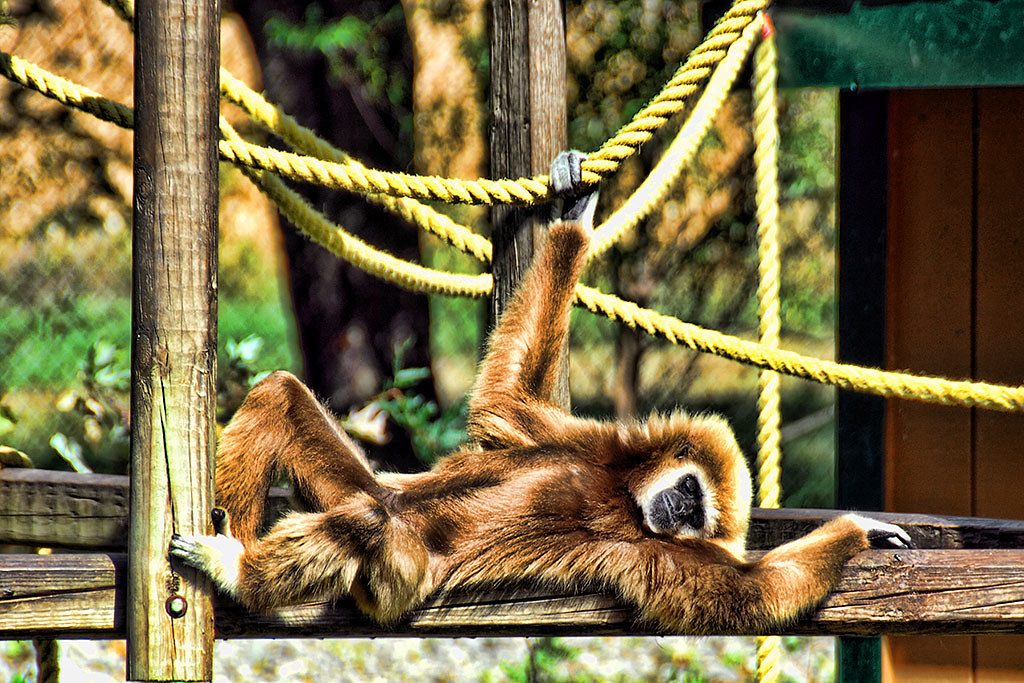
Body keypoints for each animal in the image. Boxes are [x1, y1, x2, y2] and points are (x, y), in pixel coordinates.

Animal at [170, 152, 910, 633]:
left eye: (696, 516)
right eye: (692, 491)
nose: (677, 513)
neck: (621, 492)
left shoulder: (662, 552)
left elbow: (749, 592)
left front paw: (858, 529)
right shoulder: (599, 441)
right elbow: (506, 404)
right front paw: (575, 215)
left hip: (396, 584)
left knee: (375, 521)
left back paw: (236, 570)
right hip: (357, 485)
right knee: (284, 402)